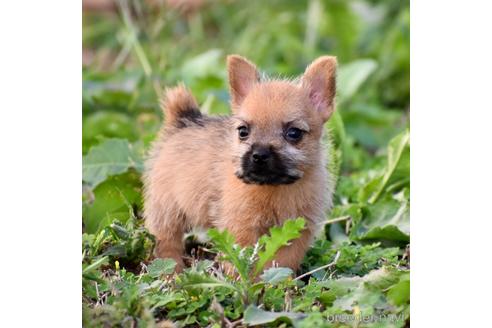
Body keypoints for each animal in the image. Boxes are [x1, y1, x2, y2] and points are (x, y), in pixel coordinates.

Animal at [141, 55, 334, 272]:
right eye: (243, 131)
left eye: (294, 133)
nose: (259, 155)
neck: (273, 188)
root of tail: (182, 121)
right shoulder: (241, 228)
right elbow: (241, 261)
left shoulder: (297, 232)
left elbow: (282, 263)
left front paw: (278, 280)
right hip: (166, 211)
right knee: (167, 243)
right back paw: (172, 272)